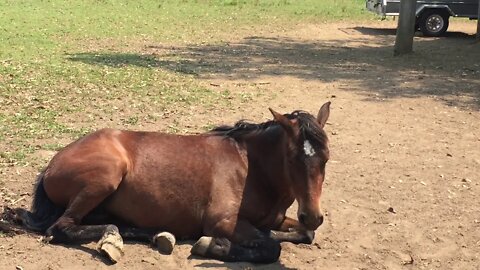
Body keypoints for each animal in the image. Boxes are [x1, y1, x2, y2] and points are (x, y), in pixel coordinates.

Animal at [8, 102, 330, 264]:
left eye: (326, 157)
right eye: (292, 158)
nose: (313, 215)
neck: (251, 167)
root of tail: (51, 164)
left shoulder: (277, 219)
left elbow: (304, 235)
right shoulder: (222, 222)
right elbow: (270, 248)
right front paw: (213, 248)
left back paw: (154, 235)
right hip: (106, 176)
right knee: (61, 228)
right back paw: (113, 241)